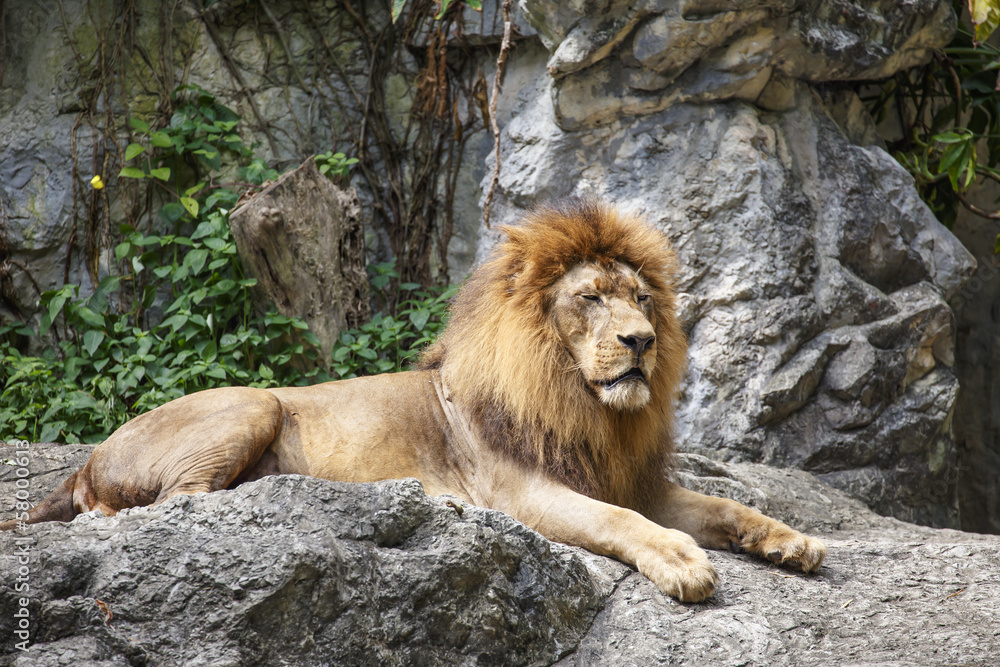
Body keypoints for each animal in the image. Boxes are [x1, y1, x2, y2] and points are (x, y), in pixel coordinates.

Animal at [2, 199, 825, 601]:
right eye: (591, 298)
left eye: (643, 298)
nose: (641, 341)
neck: (585, 404)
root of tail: (84, 462)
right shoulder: (525, 491)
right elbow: (621, 523)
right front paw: (684, 564)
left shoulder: (634, 478)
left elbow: (727, 505)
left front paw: (794, 541)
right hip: (251, 403)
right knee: (166, 505)